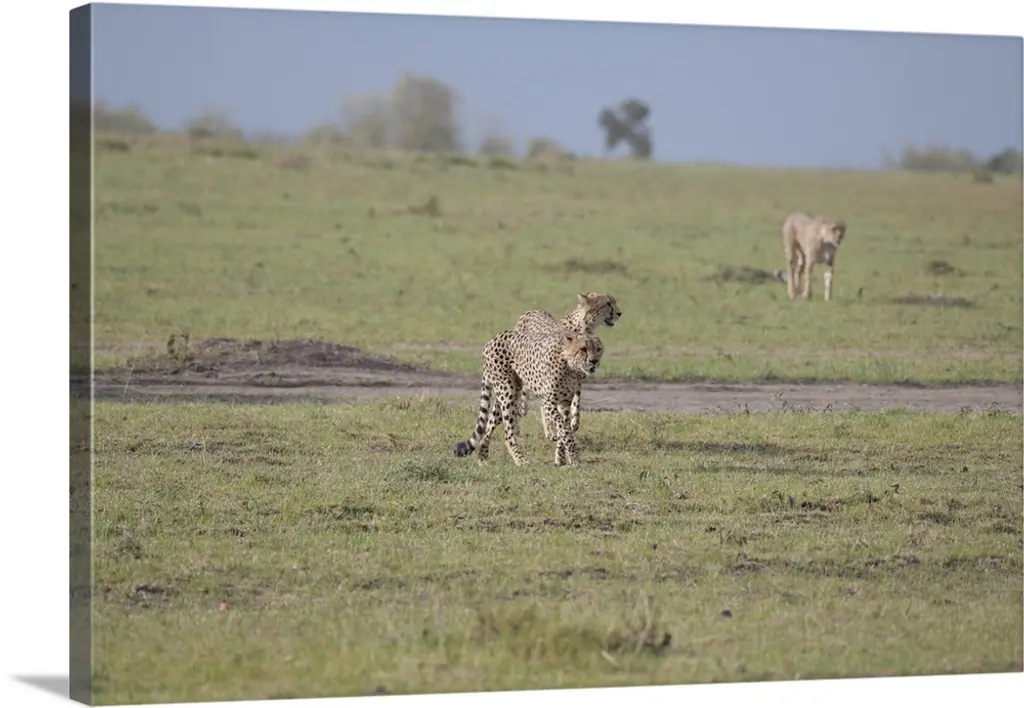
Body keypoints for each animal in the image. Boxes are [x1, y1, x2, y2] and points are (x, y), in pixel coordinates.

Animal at [450, 328, 605, 467]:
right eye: (583, 349)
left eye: (598, 349)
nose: (594, 361)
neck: (571, 367)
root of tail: (493, 339)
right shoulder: (548, 403)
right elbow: (564, 430)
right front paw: (573, 456)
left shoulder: (564, 403)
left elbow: (563, 430)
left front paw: (560, 459)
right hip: (508, 393)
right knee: (508, 433)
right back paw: (520, 461)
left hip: (508, 396)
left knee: (488, 426)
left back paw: (482, 459)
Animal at [513, 292, 620, 439]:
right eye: (608, 303)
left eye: (614, 302)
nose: (619, 313)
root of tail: (530, 311)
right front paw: (558, 429)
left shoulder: (577, 381)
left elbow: (576, 403)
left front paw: (573, 423)